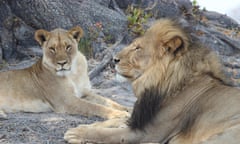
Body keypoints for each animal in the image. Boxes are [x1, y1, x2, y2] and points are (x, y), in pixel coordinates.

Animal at [0, 26, 129, 118]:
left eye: (68, 47)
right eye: (52, 49)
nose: (62, 63)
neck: (73, 73)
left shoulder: (85, 93)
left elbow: (107, 101)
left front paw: (126, 109)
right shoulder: (67, 101)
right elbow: (95, 107)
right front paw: (120, 114)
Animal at [64, 19, 240, 144]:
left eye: (138, 48)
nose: (114, 60)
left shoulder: (148, 131)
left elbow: (111, 134)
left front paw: (77, 133)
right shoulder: (141, 117)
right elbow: (117, 120)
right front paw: (87, 126)